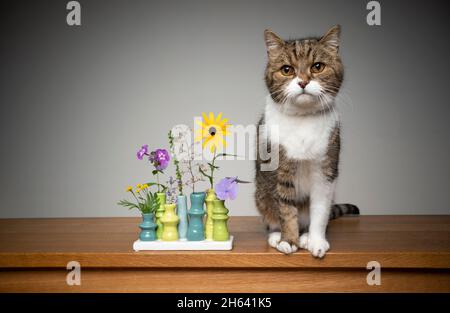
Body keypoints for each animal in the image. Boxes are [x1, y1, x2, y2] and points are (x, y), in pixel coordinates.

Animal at [256, 25, 358, 258]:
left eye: (317, 66)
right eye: (287, 70)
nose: (303, 81)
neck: (303, 119)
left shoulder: (325, 171)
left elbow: (320, 211)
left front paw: (317, 241)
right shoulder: (280, 172)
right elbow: (285, 209)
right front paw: (288, 240)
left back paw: (305, 236)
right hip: (261, 196)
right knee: (272, 217)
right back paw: (277, 236)